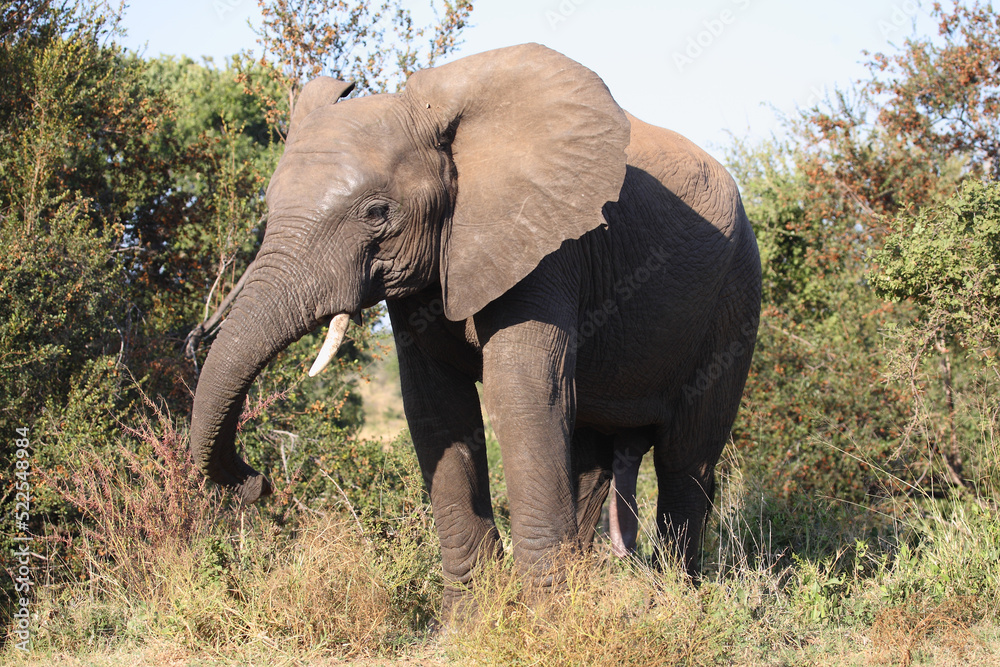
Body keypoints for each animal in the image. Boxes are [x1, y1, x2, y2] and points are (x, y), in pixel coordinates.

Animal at [191, 41, 760, 616]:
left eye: (377, 213)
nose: (258, 484)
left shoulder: (546, 241)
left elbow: (524, 392)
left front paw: (541, 621)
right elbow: (436, 406)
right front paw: (467, 622)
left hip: (734, 298)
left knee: (686, 460)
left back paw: (677, 601)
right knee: (594, 455)